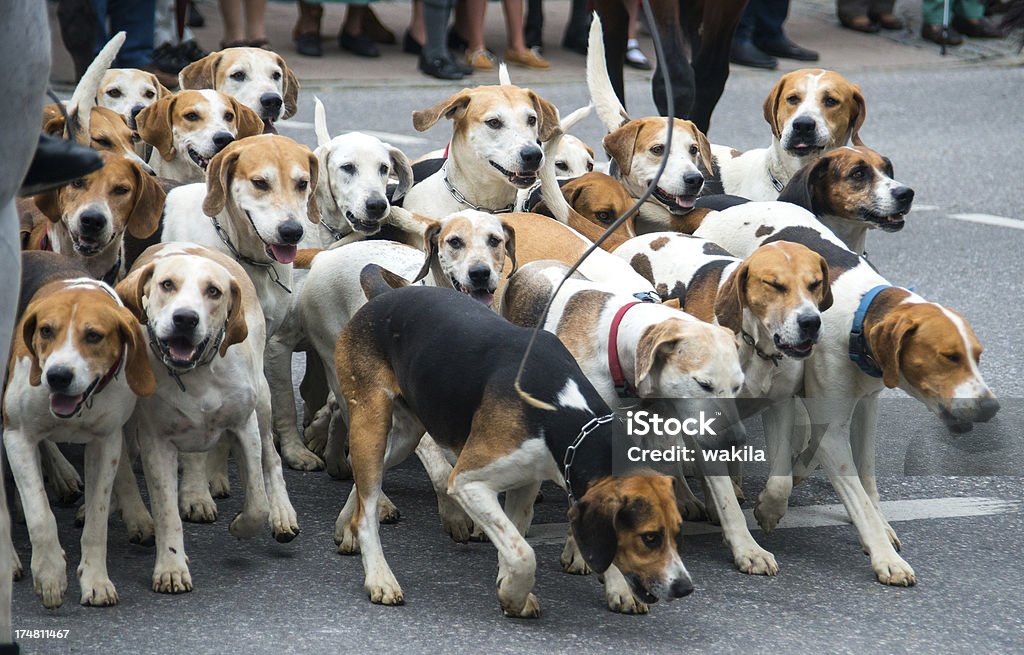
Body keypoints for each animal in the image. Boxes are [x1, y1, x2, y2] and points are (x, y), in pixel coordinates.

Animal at [3, 255, 153, 609]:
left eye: (94, 336)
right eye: (46, 330)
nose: (58, 376)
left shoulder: (106, 443)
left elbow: (97, 522)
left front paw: (96, 580)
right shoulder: (17, 437)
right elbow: (40, 515)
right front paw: (50, 575)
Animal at [692, 202, 995, 585]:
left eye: (977, 355)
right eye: (949, 356)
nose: (990, 407)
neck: (858, 317)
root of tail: (723, 206)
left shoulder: (867, 406)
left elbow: (865, 474)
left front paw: (879, 525)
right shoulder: (832, 432)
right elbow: (852, 493)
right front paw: (885, 556)